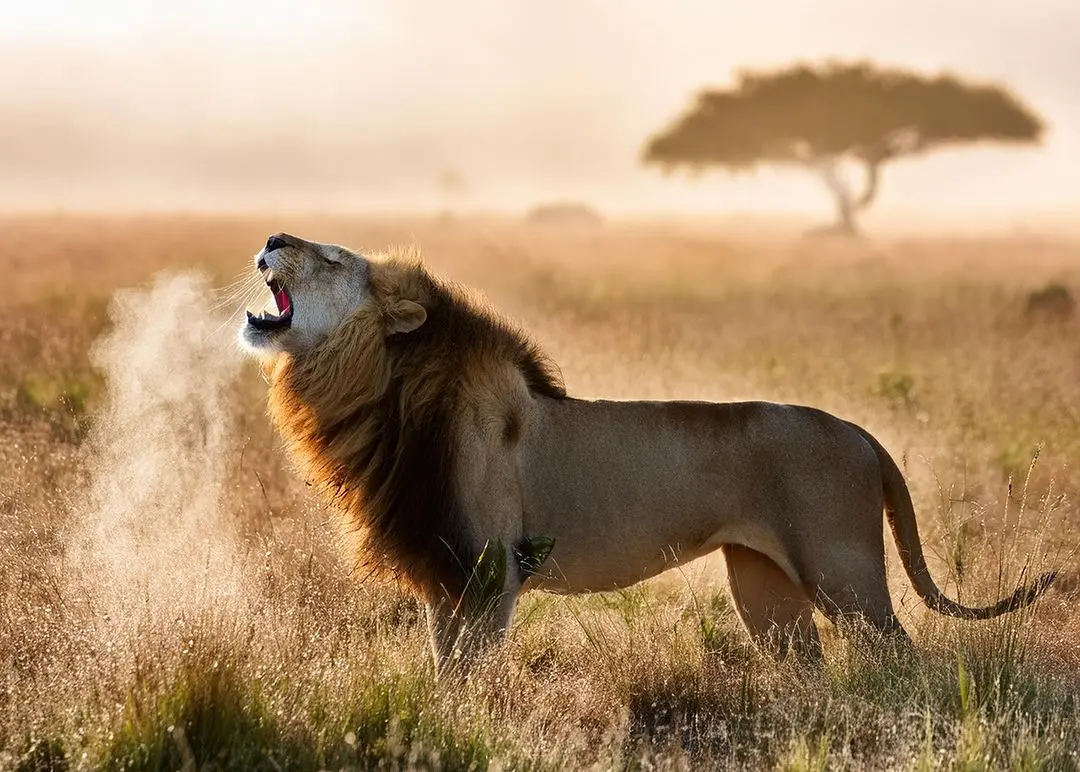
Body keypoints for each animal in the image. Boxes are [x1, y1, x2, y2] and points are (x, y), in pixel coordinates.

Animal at [243, 232, 1054, 673]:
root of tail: (861, 433)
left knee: (903, 663)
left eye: (334, 258)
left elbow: (468, 681)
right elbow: (444, 671)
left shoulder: (489, 572)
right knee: (810, 668)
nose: (273, 240)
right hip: (765, 587)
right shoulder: (444, 573)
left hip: (844, 573)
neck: (382, 391)